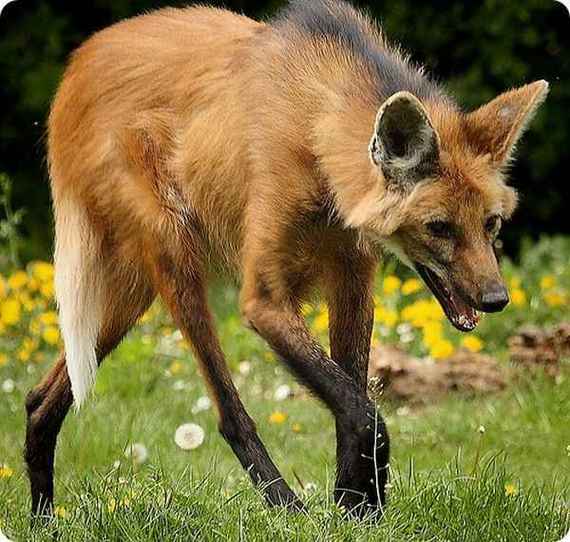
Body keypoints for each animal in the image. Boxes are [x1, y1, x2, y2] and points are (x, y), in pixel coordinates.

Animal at [25, 0, 544, 520]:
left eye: (491, 224)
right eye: (439, 227)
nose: (497, 299)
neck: (316, 131)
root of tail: (75, 71)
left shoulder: (352, 277)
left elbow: (352, 396)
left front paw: (357, 509)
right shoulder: (265, 300)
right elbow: (362, 410)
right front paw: (357, 506)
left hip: (133, 290)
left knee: (39, 398)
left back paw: (44, 515)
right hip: (174, 251)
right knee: (228, 413)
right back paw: (286, 507)